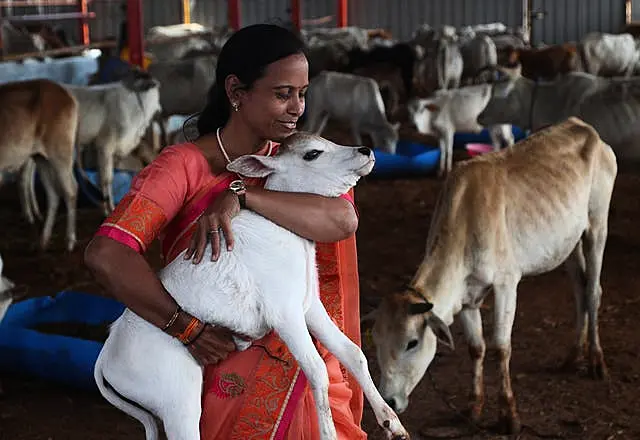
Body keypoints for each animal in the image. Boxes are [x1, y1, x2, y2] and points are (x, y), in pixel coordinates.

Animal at [362, 117, 616, 436]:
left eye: (412, 342)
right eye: (377, 340)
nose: (390, 401)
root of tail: (584, 127)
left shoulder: (506, 284)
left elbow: (500, 347)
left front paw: (509, 415)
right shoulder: (467, 298)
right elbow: (476, 348)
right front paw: (473, 407)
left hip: (597, 225)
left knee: (594, 291)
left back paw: (596, 361)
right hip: (568, 243)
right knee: (580, 289)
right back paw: (573, 356)